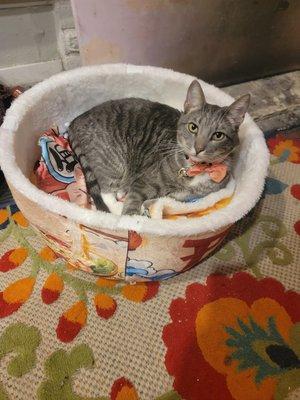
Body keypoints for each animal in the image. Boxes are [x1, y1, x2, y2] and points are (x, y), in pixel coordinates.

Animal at [68, 79, 248, 216]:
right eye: (193, 127)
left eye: (218, 135)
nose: (198, 148)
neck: (196, 169)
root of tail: (75, 120)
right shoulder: (143, 181)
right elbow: (133, 201)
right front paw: (131, 218)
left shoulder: (181, 197)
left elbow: (163, 200)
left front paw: (148, 205)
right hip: (110, 159)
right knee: (105, 191)